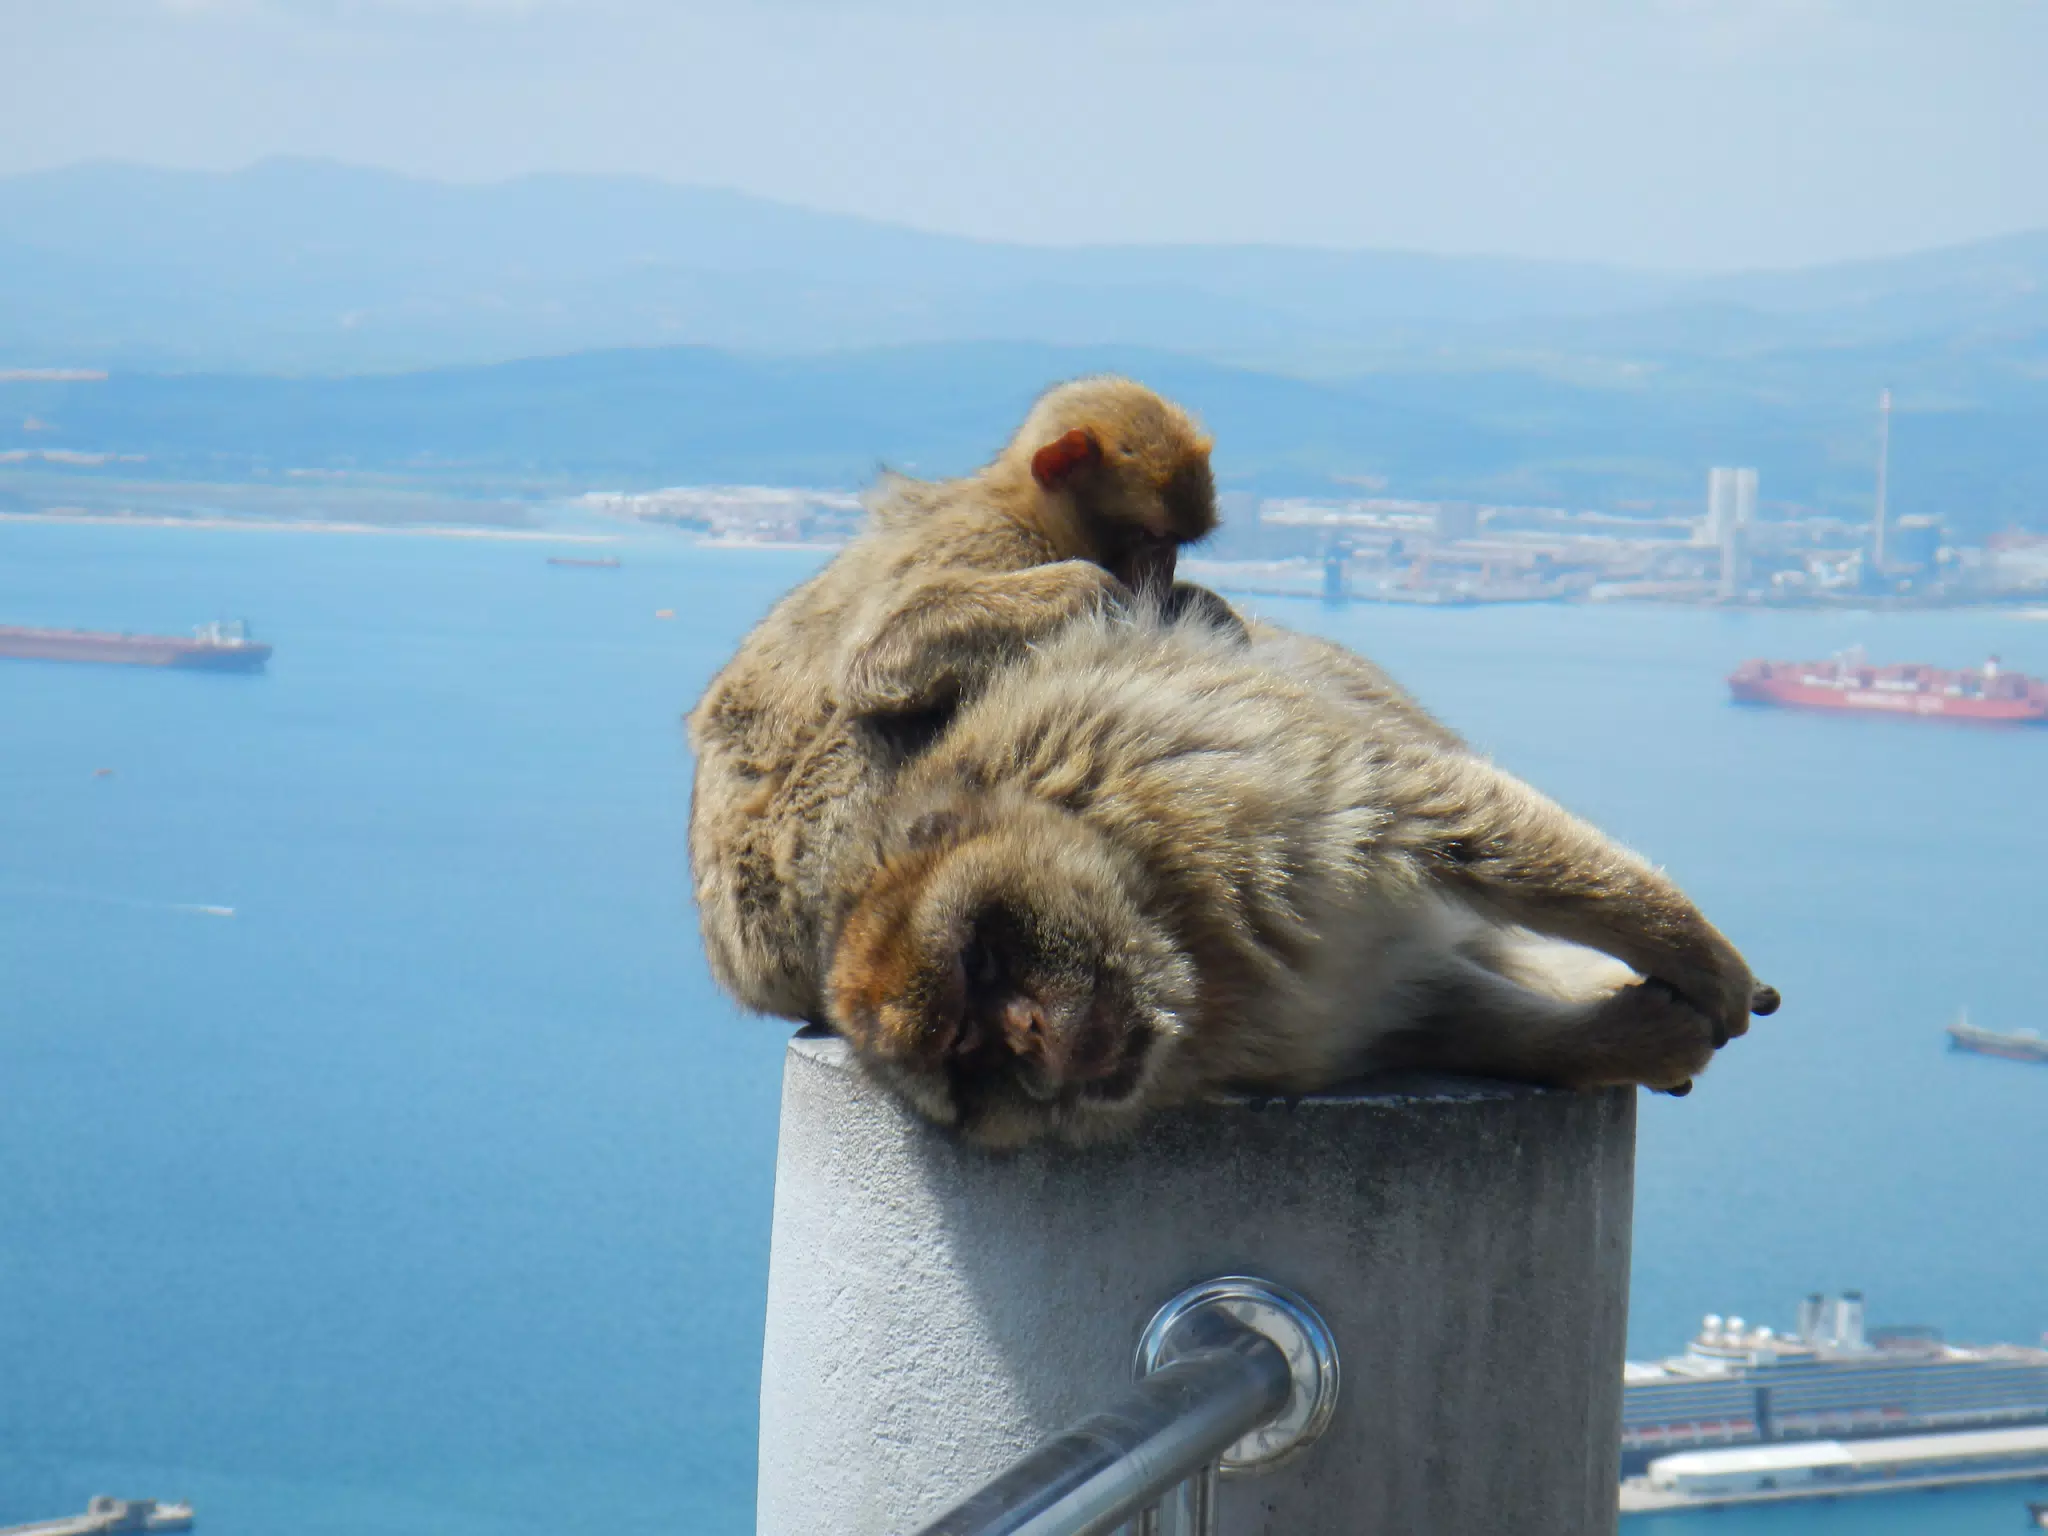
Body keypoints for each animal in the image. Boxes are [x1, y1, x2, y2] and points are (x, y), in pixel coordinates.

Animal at [687, 376, 1230, 1025]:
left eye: (1175, 545)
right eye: (1153, 538)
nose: (1160, 575)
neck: (1022, 509)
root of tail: (731, 965)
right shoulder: (991, 542)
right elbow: (881, 653)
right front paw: (1096, 588)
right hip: (779, 899)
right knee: (877, 724)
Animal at [821, 607, 1781, 1148]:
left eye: (982, 962)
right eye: (967, 1054)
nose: (1025, 1038)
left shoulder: (1202, 785)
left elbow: (1442, 814)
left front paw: (1698, 957)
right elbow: (1433, 1012)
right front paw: (1620, 1041)